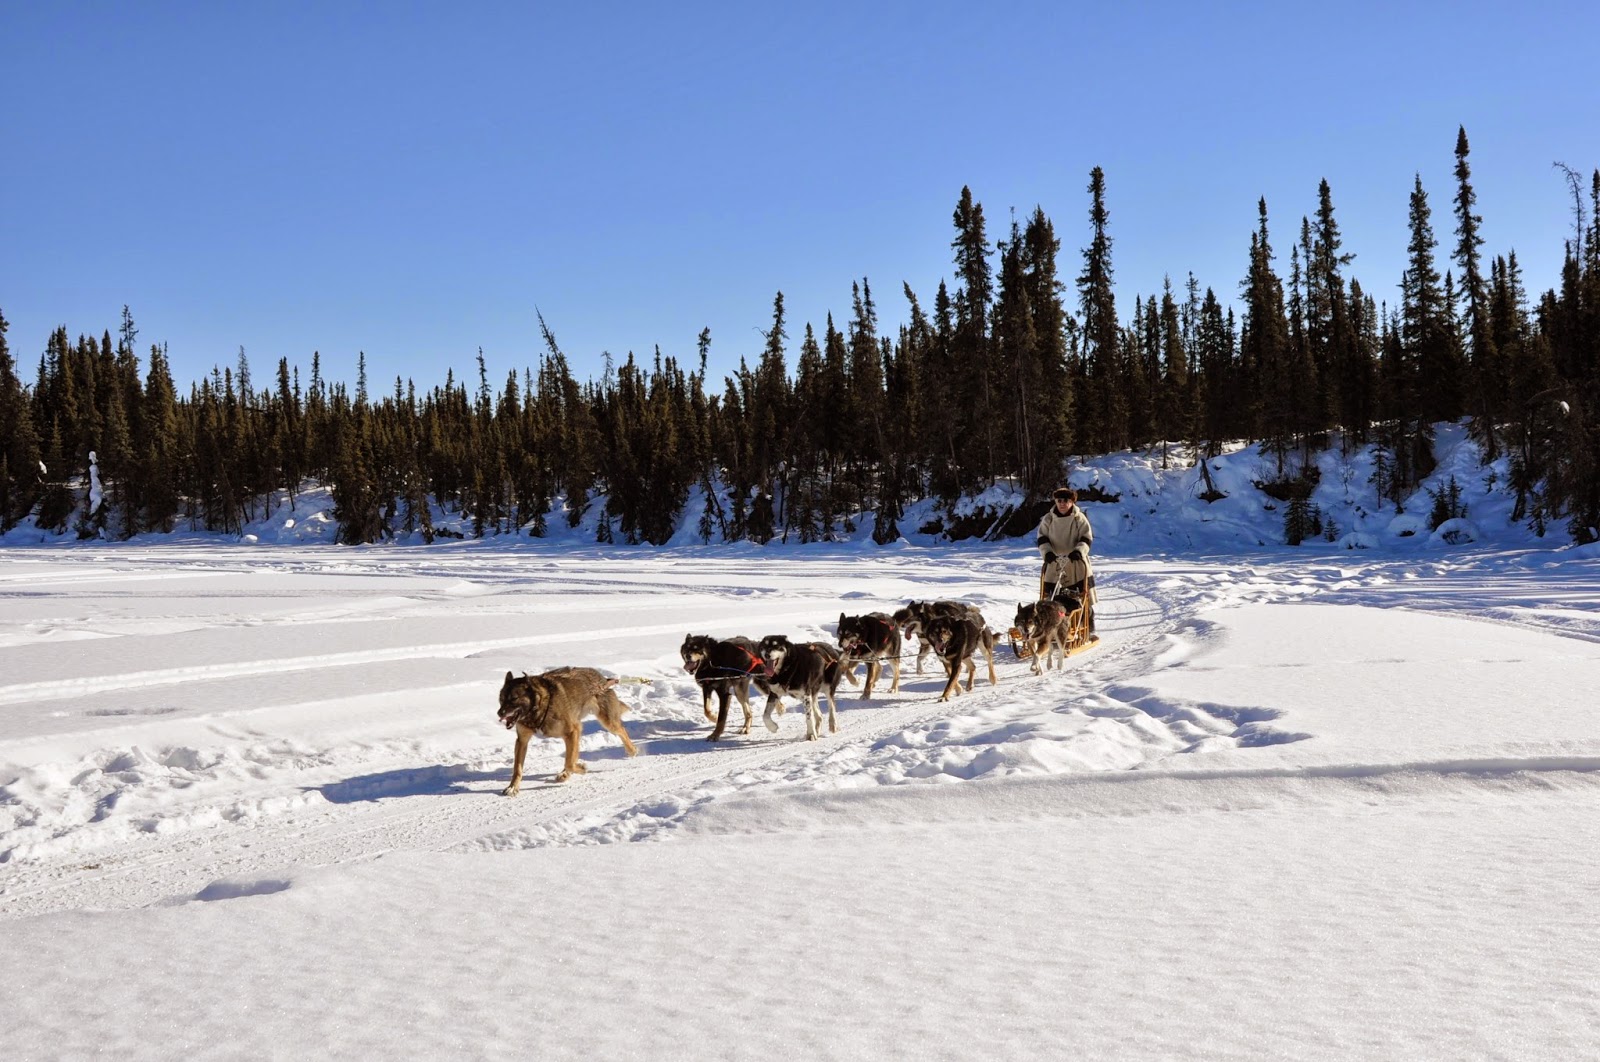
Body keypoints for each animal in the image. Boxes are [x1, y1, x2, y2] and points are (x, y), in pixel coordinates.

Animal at [497, 667, 639, 794]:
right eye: (501, 698)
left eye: (514, 698)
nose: (499, 713)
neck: (540, 706)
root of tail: (603, 679)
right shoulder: (522, 741)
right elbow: (517, 769)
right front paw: (513, 787)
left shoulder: (572, 731)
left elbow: (570, 762)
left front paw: (581, 768)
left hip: (607, 723)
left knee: (622, 730)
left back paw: (632, 750)